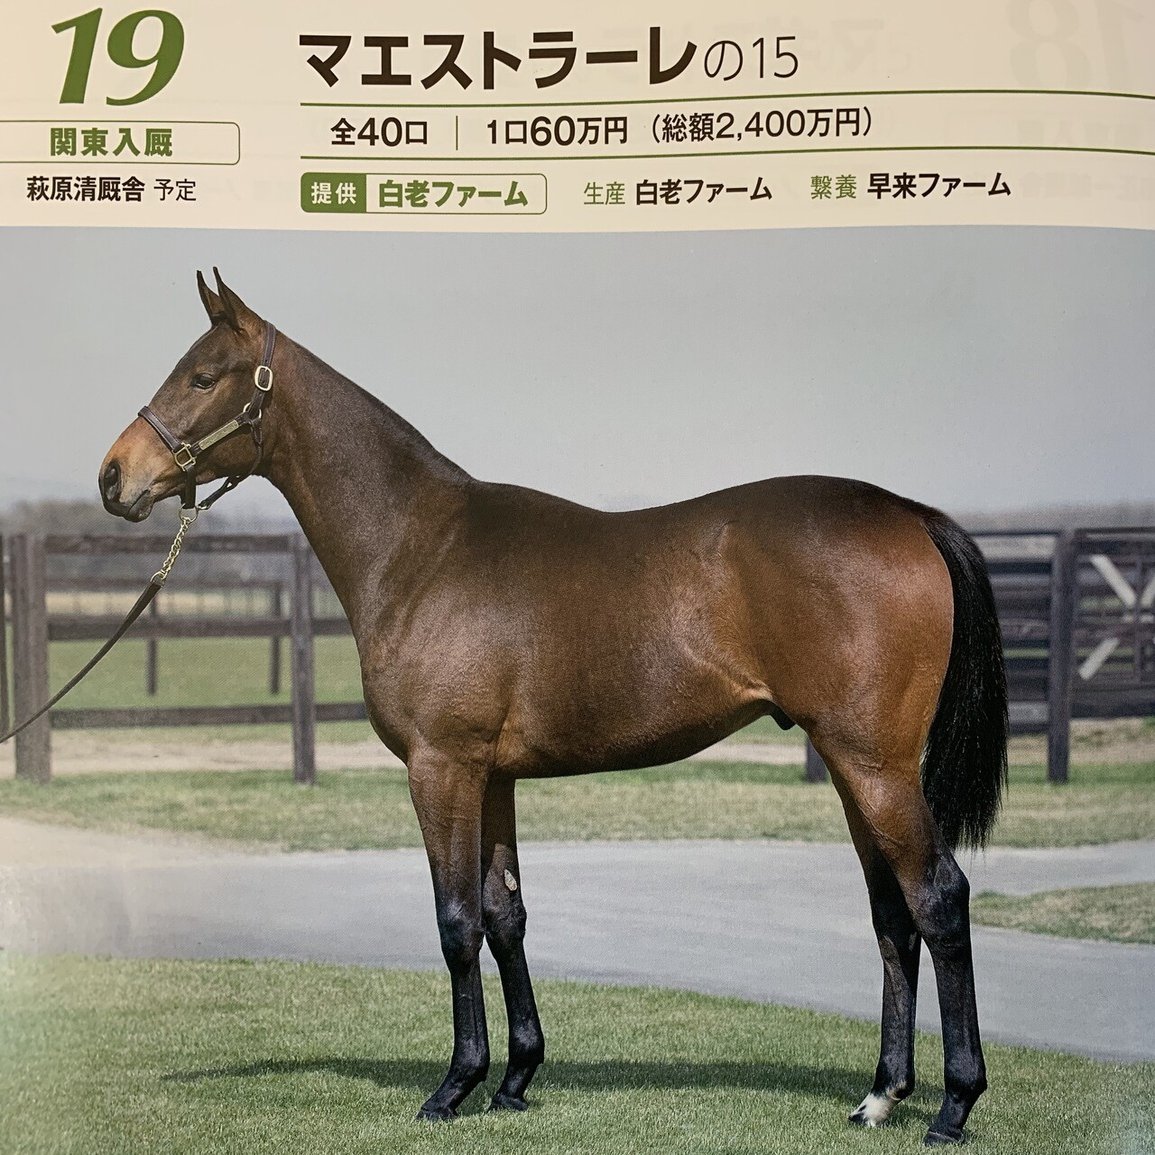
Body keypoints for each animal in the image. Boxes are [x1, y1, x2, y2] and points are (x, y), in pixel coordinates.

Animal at [99, 271, 1007, 1146]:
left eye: (202, 375)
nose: (113, 475)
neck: (422, 549)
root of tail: (908, 516)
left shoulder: (441, 766)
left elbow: (456, 919)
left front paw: (453, 1086)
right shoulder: (493, 776)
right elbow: (506, 915)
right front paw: (514, 1079)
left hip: (874, 763)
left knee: (938, 897)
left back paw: (952, 1105)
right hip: (855, 766)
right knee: (891, 911)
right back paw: (879, 1096)